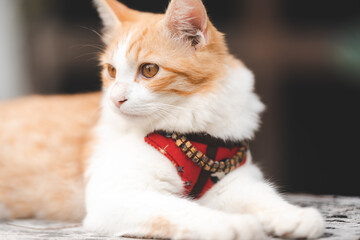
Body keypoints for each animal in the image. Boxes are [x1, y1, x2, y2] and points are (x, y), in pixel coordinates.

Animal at [0, 0, 324, 240]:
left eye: (149, 70)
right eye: (111, 71)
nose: (116, 99)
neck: (186, 125)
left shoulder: (233, 180)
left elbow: (263, 196)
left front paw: (294, 215)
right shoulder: (116, 196)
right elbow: (179, 210)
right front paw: (231, 224)